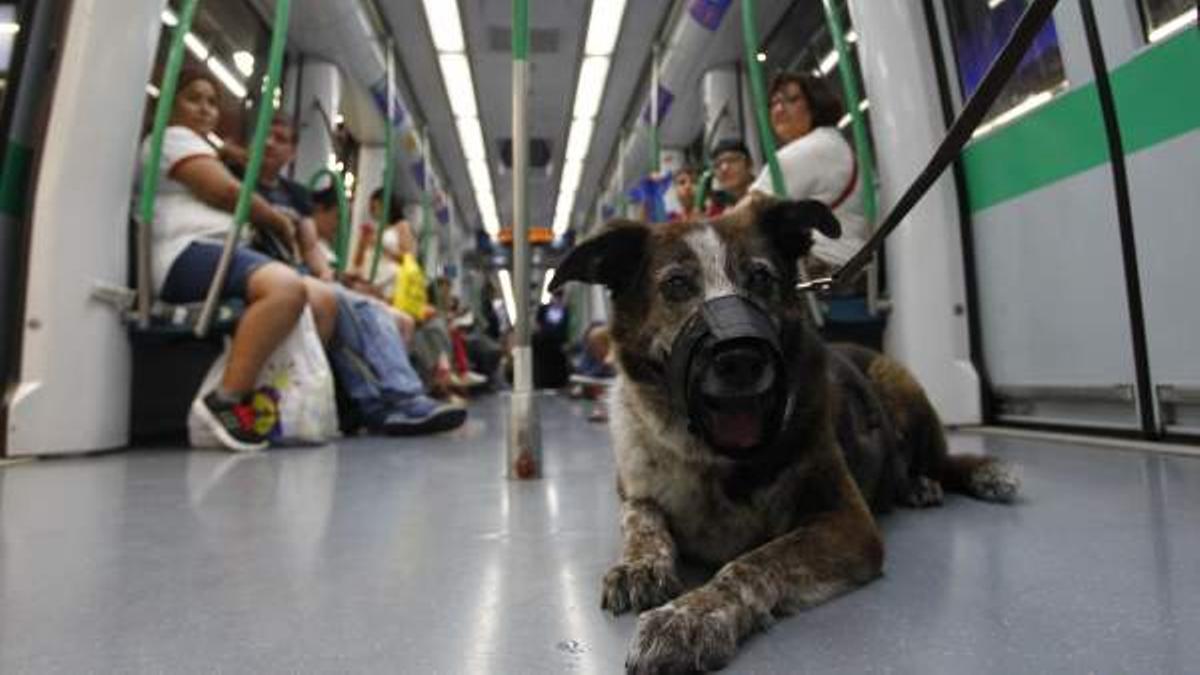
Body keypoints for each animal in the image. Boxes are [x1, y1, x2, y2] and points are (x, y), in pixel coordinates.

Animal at [549, 192, 1017, 667]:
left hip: (900, 383)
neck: (714, 460)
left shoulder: (847, 522)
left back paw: (967, 475)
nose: (739, 358)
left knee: (944, 460)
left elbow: (752, 564)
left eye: (760, 277)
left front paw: (692, 615)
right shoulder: (636, 489)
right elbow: (641, 519)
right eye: (676, 285)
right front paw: (641, 564)